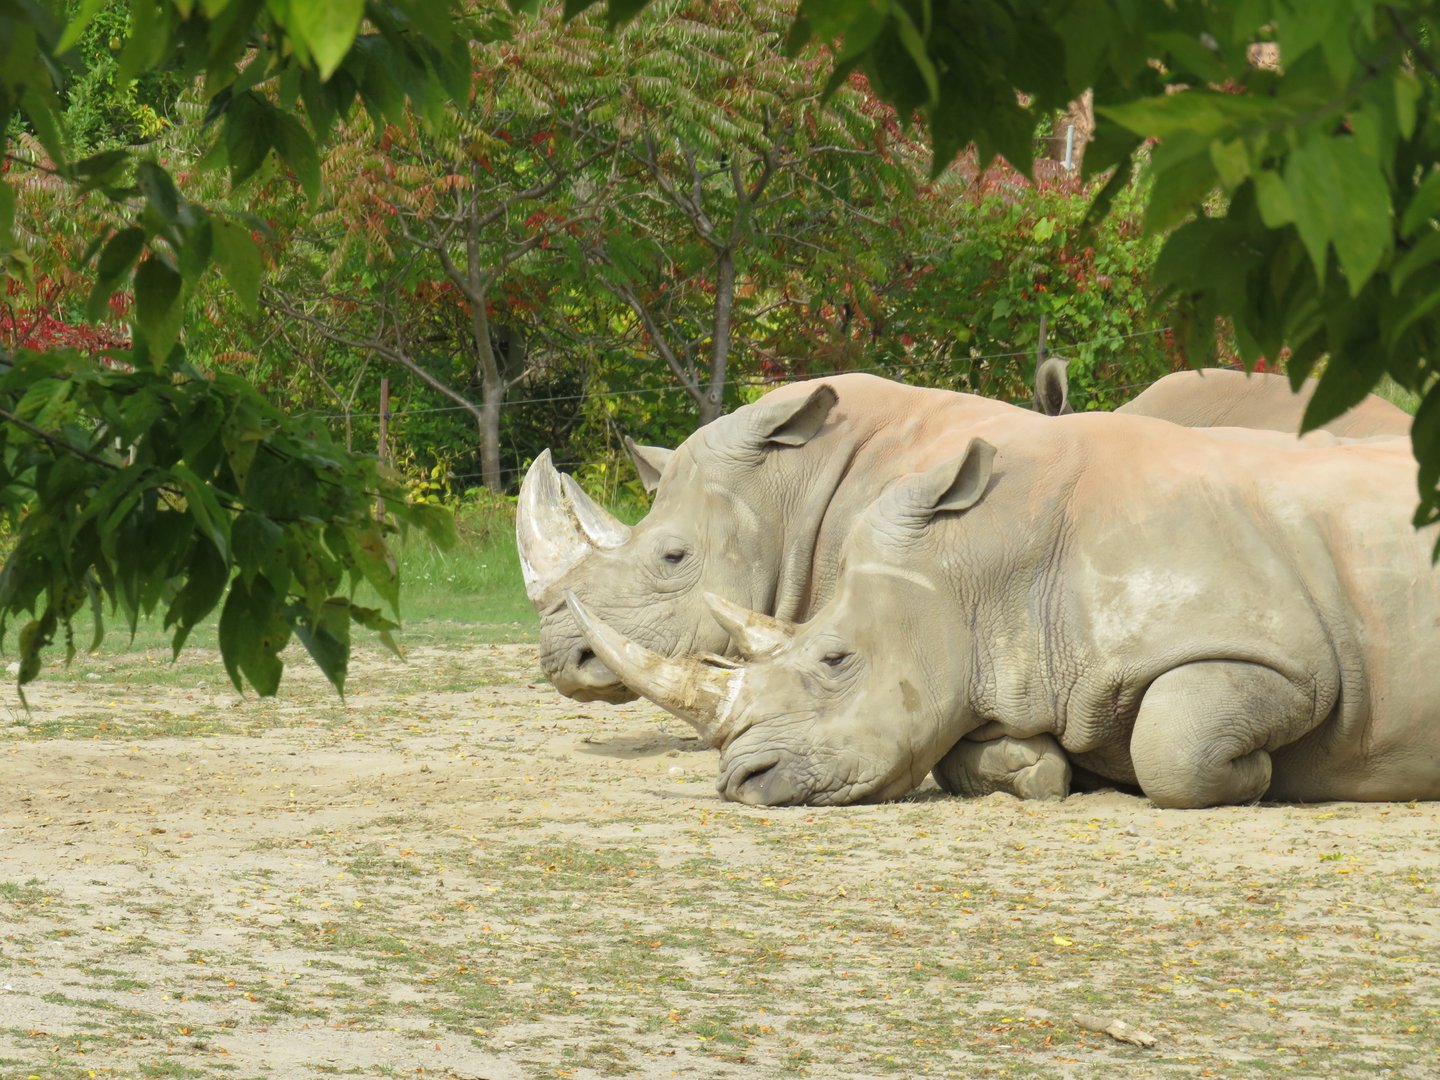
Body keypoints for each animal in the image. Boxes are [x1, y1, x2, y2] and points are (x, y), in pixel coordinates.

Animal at [565, 409, 1438, 809]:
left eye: (836, 660)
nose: (741, 779)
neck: (982, 571)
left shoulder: (1286, 659)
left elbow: (1174, 741)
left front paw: (1259, 777)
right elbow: (960, 750)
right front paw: (1043, 769)